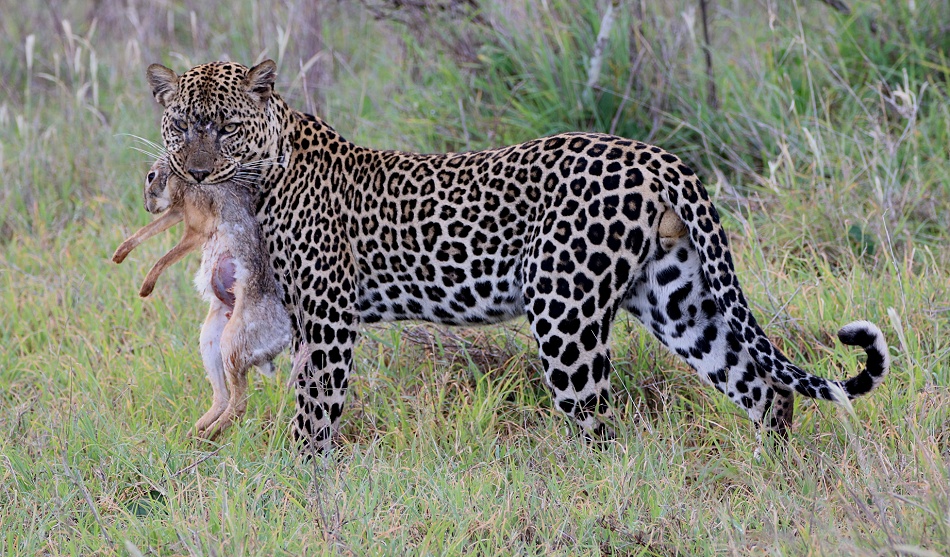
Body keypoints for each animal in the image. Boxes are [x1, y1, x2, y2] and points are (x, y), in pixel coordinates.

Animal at [141, 59, 889, 454]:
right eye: (180, 126)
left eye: (225, 127)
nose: (195, 172)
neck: (269, 172)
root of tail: (659, 156)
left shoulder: (327, 321)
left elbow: (314, 411)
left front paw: (302, 480)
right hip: (679, 298)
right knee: (762, 385)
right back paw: (774, 470)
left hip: (565, 315)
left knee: (601, 425)